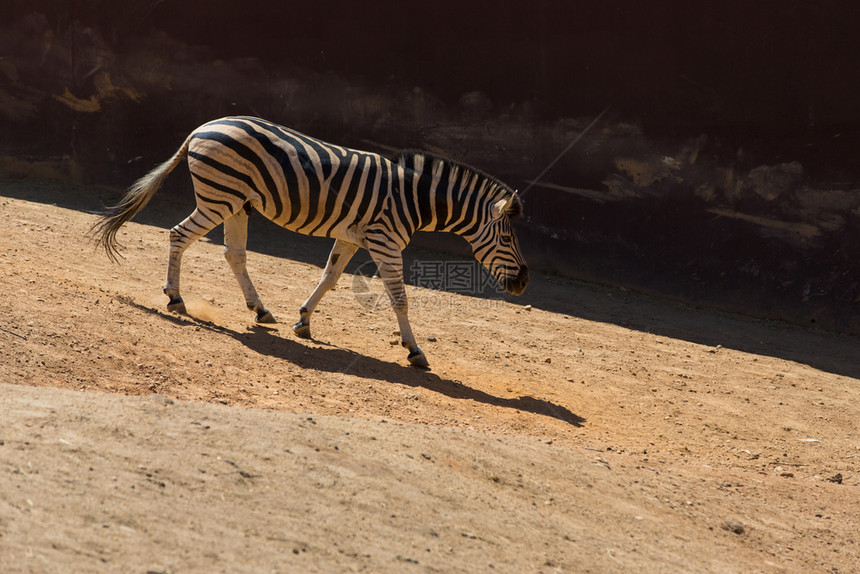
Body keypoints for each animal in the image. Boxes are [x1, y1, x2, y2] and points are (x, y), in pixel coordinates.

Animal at [90, 117, 528, 368]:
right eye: (508, 236)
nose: (524, 282)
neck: (412, 198)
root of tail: (202, 127)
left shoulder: (353, 237)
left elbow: (329, 279)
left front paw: (303, 320)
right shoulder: (385, 241)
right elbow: (400, 298)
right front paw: (414, 351)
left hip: (236, 202)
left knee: (235, 254)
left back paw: (261, 309)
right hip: (220, 196)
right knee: (180, 235)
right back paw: (176, 298)